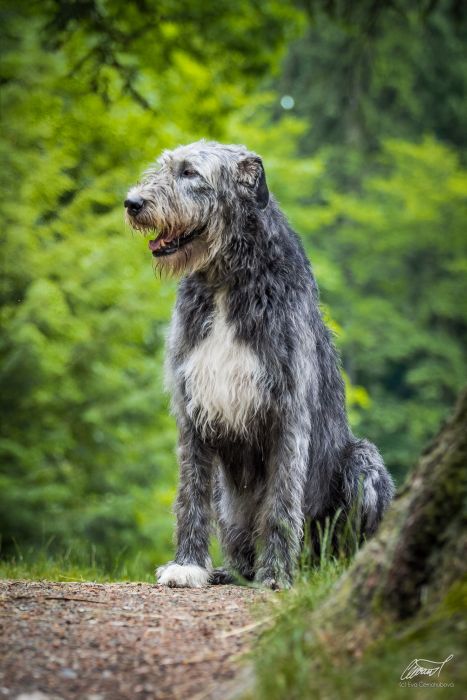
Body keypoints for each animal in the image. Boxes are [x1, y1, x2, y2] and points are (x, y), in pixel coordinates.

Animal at [125, 139, 394, 588]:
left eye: (190, 173)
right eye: (163, 167)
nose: (132, 203)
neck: (225, 281)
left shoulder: (288, 410)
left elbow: (281, 502)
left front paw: (276, 575)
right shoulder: (191, 409)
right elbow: (190, 495)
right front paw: (188, 564)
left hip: (362, 462)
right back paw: (229, 571)